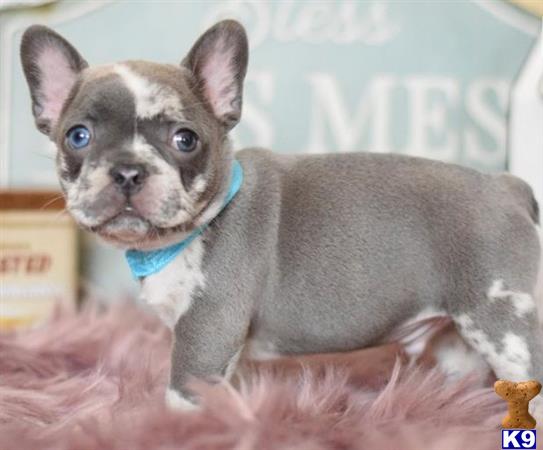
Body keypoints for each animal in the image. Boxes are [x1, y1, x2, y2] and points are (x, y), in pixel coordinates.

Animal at [21, 21, 543, 414]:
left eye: (185, 139)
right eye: (78, 136)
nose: (128, 170)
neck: (183, 235)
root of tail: (506, 186)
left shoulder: (206, 328)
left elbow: (182, 394)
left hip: (506, 327)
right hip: (459, 337)